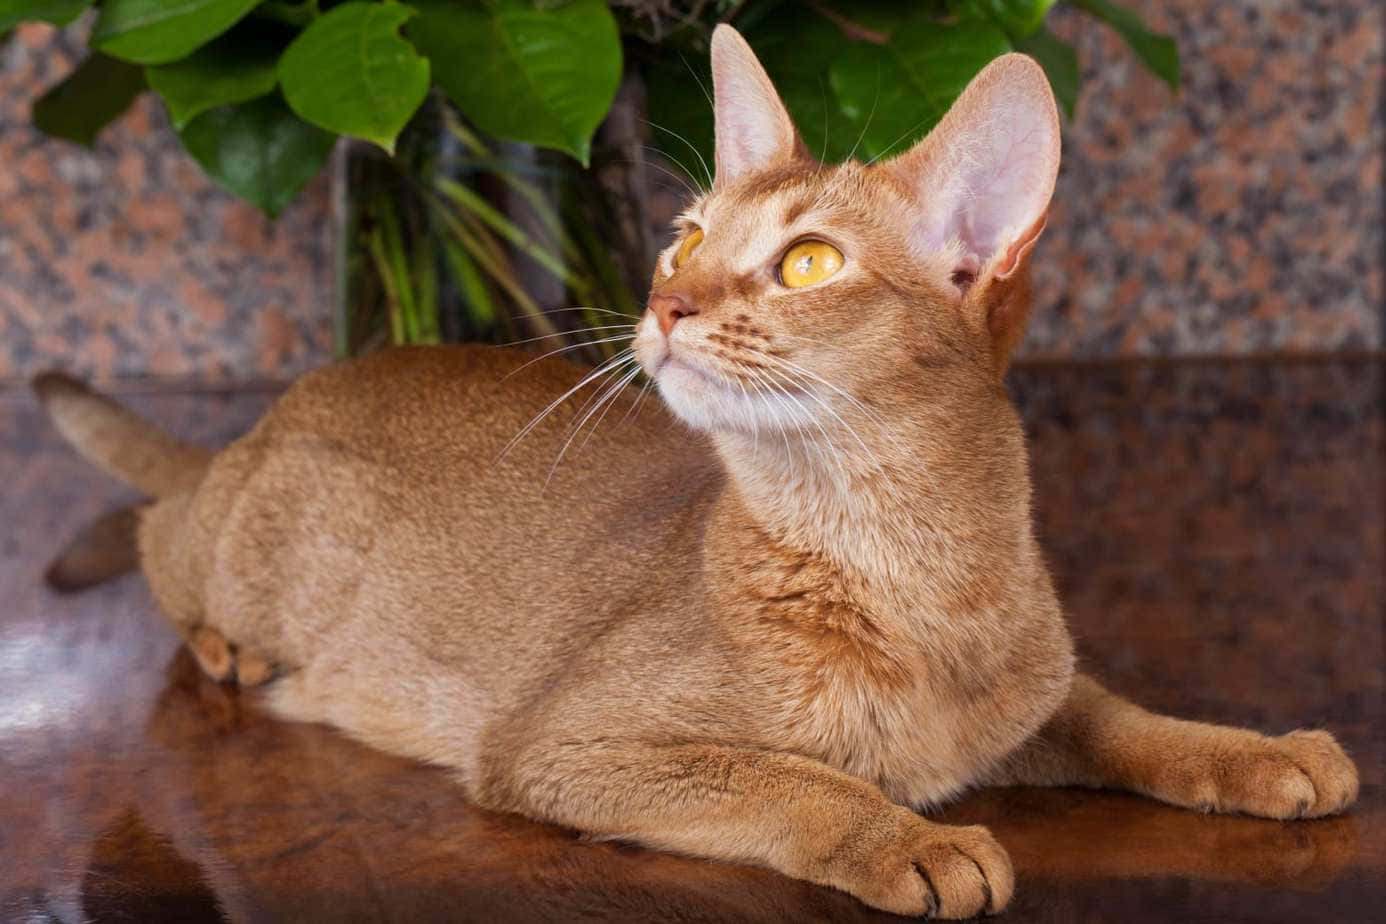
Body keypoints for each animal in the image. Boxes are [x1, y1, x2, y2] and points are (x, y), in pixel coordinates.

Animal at [37, 27, 1358, 919]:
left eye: (810, 261)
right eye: (685, 238)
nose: (665, 302)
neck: (909, 565)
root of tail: (285, 406)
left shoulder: (1022, 697)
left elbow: (1112, 711)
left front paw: (1256, 751)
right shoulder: (562, 745)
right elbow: (787, 779)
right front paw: (905, 839)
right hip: (247, 550)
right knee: (158, 528)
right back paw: (220, 641)